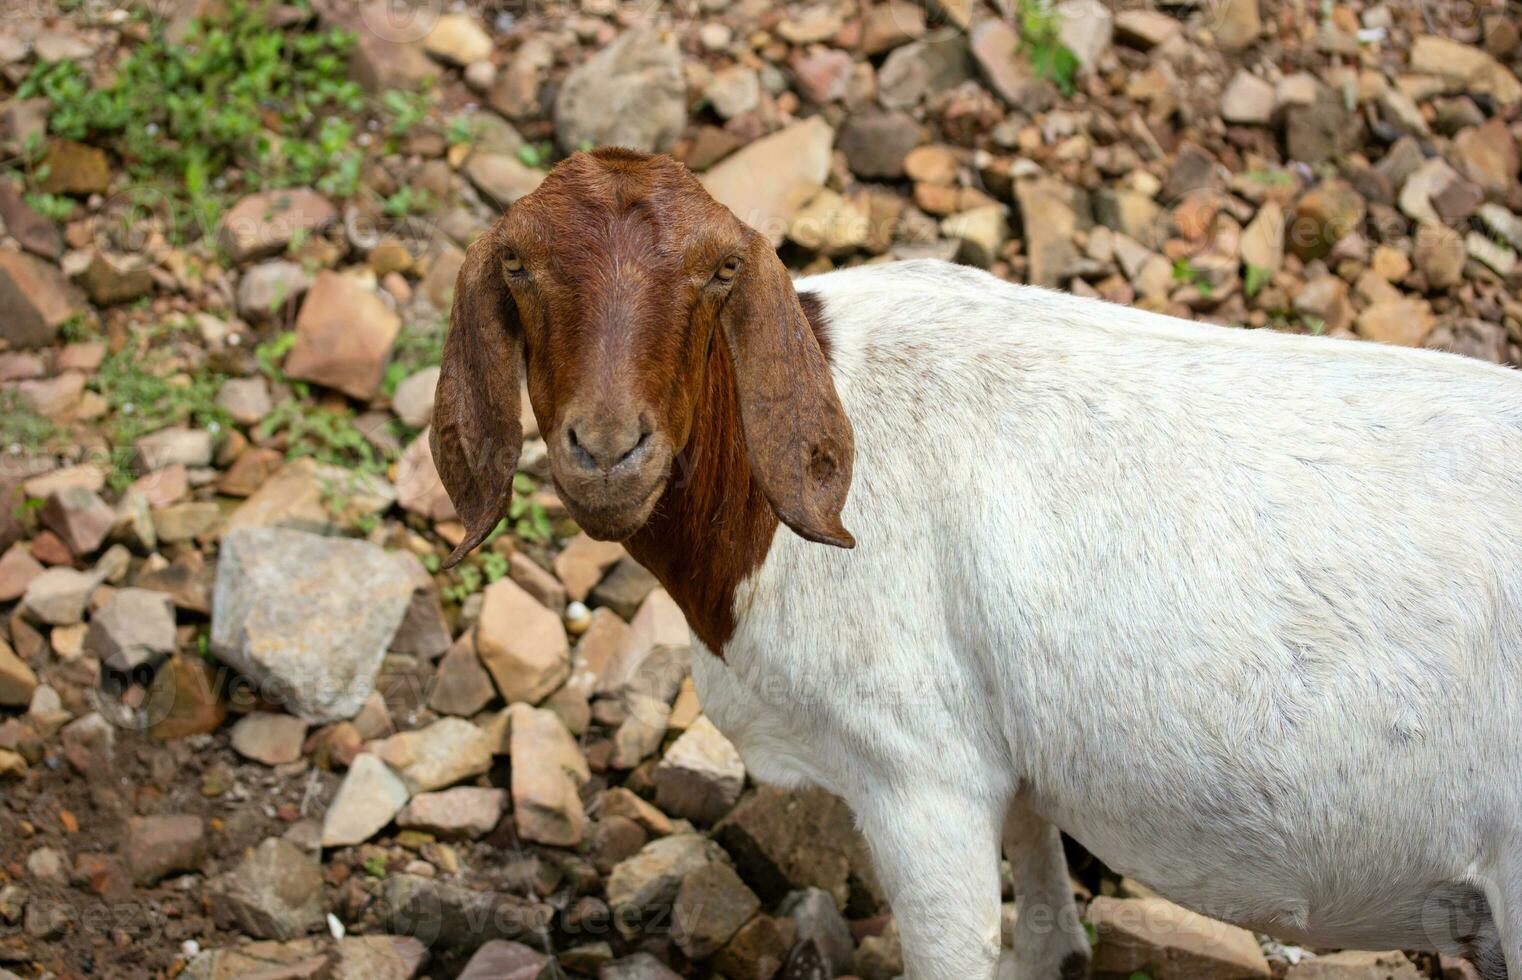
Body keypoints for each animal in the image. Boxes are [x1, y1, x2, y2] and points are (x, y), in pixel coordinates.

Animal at [432, 147, 1522, 980]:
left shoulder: (918, 773)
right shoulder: (1010, 756)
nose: (607, 447)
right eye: (519, 267)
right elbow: (1044, 916)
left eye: (716, 273)